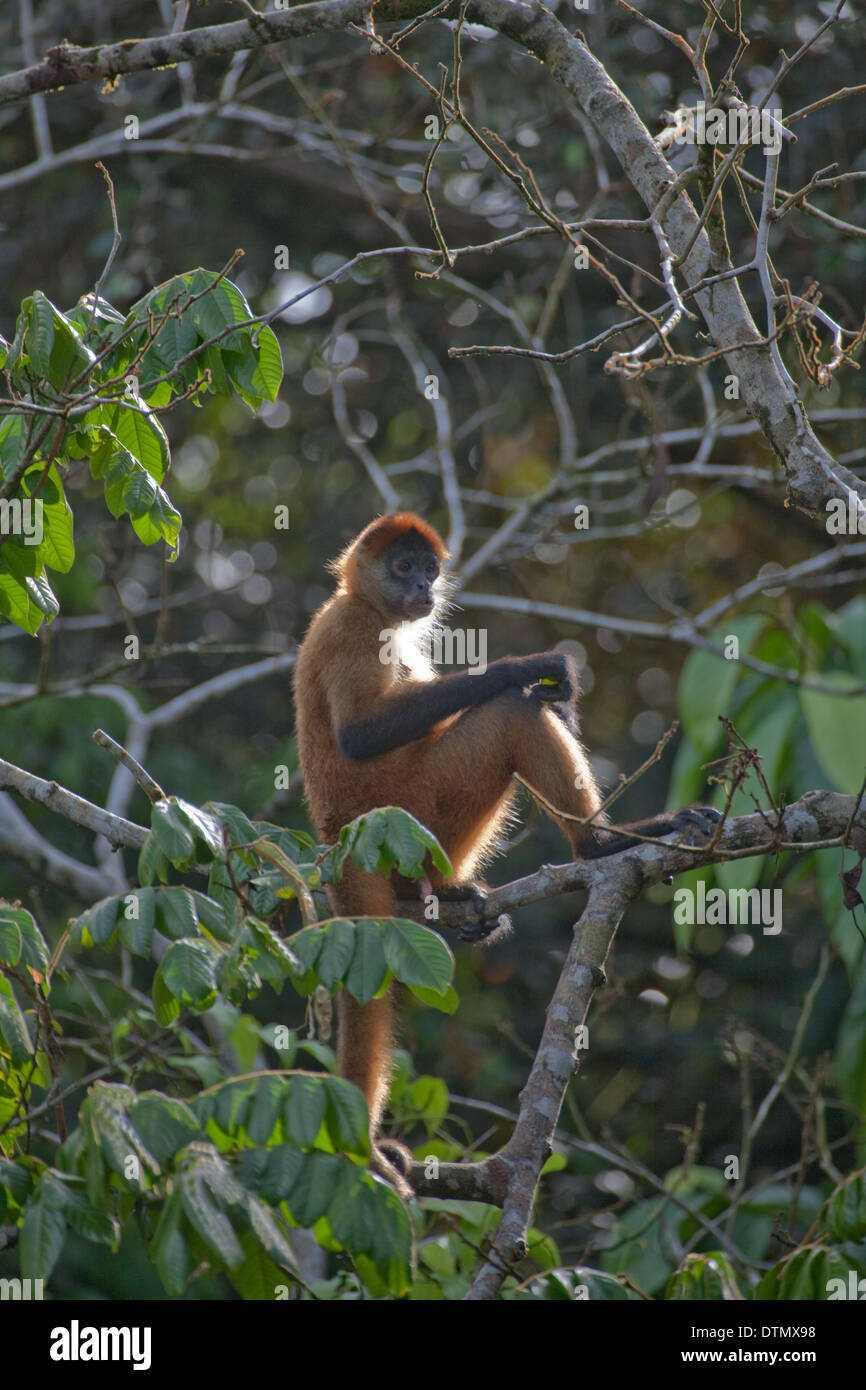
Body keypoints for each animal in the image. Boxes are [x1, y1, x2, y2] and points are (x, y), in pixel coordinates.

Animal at [293, 513, 720, 1194]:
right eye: (402, 568)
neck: (361, 601)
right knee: (511, 714)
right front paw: (524, 668)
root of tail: (343, 835)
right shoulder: (353, 624)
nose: (423, 589)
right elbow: (361, 734)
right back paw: (601, 844)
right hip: (410, 805)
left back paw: (449, 894)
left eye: (428, 569)